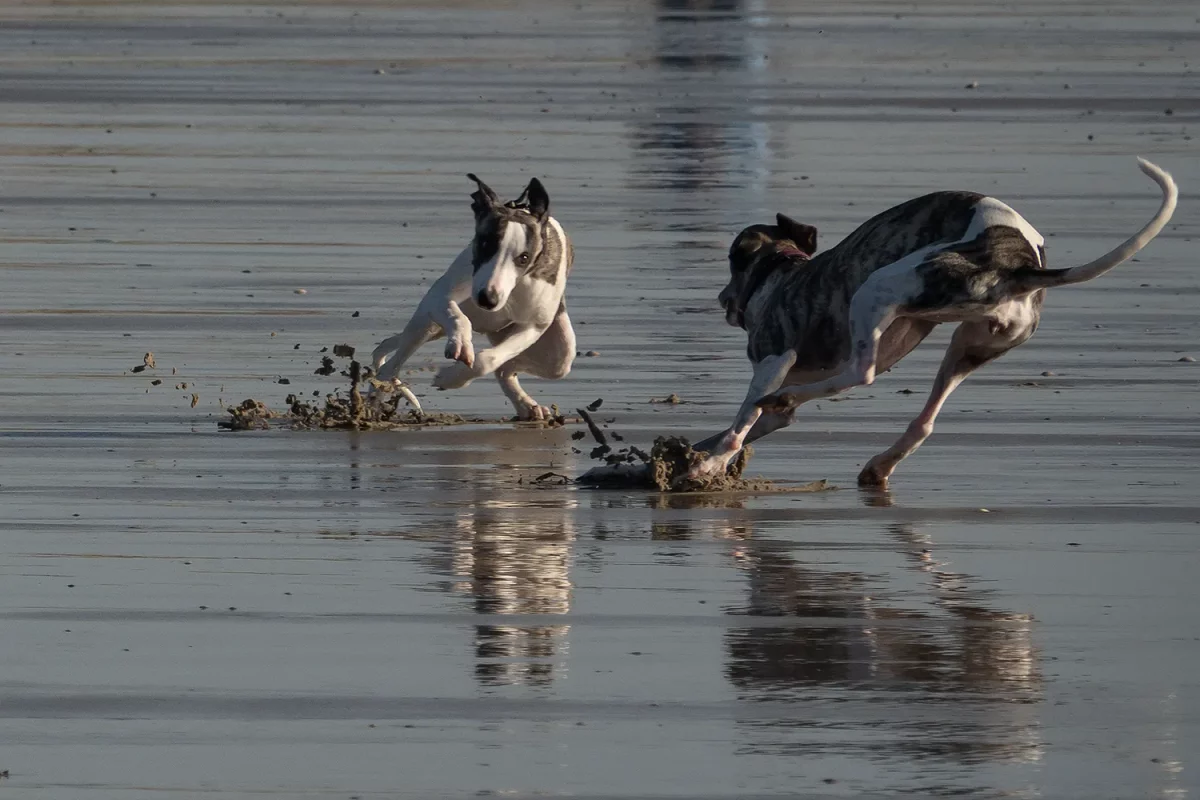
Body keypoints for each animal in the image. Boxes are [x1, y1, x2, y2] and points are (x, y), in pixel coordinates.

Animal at [371, 174, 575, 420]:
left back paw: (525, 404)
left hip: (559, 355)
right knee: (390, 364)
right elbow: (457, 317)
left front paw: (451, 378)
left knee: (512, 367)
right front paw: (459, 342)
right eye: (486, 244)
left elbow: (488, 360)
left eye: (524, 258)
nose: (488, 299)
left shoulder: (534, 326)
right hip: (426, 325)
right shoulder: (439, 297)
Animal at [684, 158, 1177, 488]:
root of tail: (1020, 263)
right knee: (923, 422)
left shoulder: (773, 357)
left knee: (861, 372)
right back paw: (879, 463)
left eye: (733, 268)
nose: (723, 300)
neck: (782, 270)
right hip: (970, 344)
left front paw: (711, 461)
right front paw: (696, 454)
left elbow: (742, 421)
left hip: (878, 288)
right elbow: (753, 424)